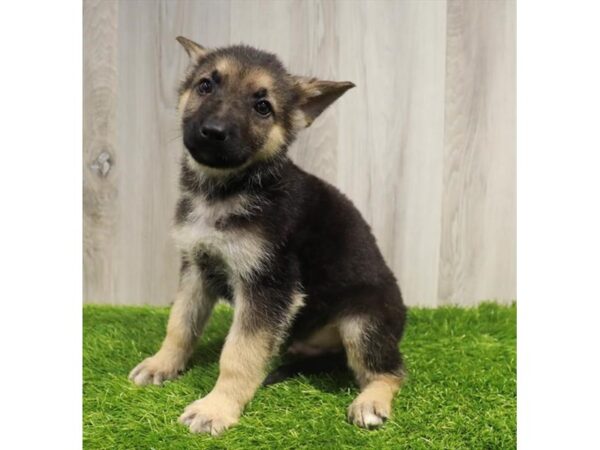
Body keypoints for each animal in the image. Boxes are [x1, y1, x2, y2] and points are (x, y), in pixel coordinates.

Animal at [128, 37, 406, 438]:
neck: (226, 190)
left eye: (263, 107)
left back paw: (371, 401)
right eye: (205, 85)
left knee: (391, 370)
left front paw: (216, 408)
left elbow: (239, 353)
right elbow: (180, 323)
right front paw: (161, 364)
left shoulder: (269, 286)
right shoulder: (196, 268)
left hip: (362, 320)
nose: (213, 131)